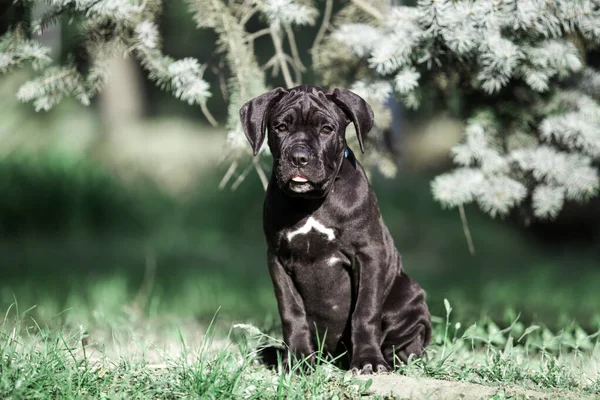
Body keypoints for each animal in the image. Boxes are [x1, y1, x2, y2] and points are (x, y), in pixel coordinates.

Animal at [239, 85, 432, 376]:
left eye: (326, 129)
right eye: (280, 127)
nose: (299, 158)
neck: (311, 202)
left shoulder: (369, 255)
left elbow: (365, 311)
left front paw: (368, 361)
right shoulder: (278, 259)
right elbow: (291, 312)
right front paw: (298, 359)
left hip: (409, 295)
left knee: (409, 339)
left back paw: (395, 356)